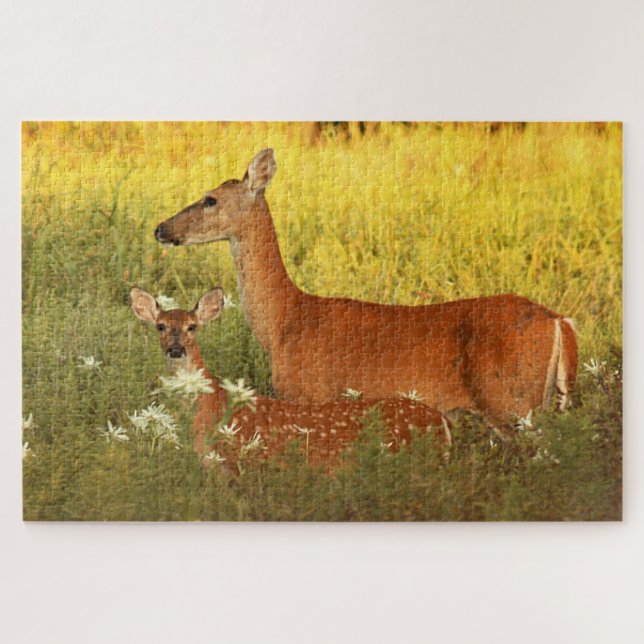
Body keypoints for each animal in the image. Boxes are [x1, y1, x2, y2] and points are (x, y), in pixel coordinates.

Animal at [154, 148, 578, 433]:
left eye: (210, 198)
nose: (161, 228)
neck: (284, 322)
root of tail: (560, 323)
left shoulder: (308, 393)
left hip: (512, 404)